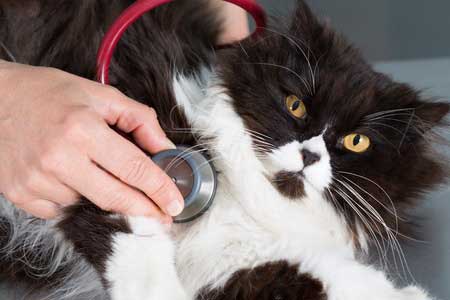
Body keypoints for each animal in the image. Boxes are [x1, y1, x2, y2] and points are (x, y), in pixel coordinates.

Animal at [0, 0, 448, 300]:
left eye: (357, 141)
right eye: (296, 105)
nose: (309, 155)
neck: (241, 194)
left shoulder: (239, 260)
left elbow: (319, 278)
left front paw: (407, 295)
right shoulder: (112, 132)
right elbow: (137, 246)